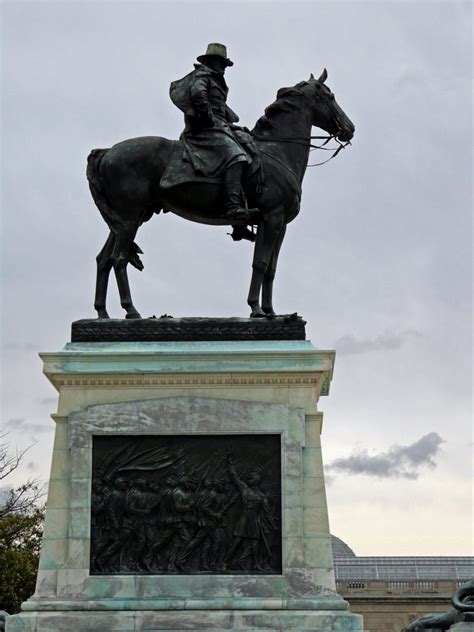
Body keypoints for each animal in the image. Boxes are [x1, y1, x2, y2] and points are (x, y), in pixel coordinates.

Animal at [86, 68, 352, 320]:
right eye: (330, 96)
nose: (350, 128)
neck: (278, 149)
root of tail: (108, 152)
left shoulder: (280, 224)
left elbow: (271, 268)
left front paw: (271, 312)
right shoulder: (271, 217)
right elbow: (260, 263)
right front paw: (256, 309)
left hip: (125, 221)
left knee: (104, 260)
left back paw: (102, 313)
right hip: (130, 218)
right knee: (118, 260)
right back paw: (131, 311)